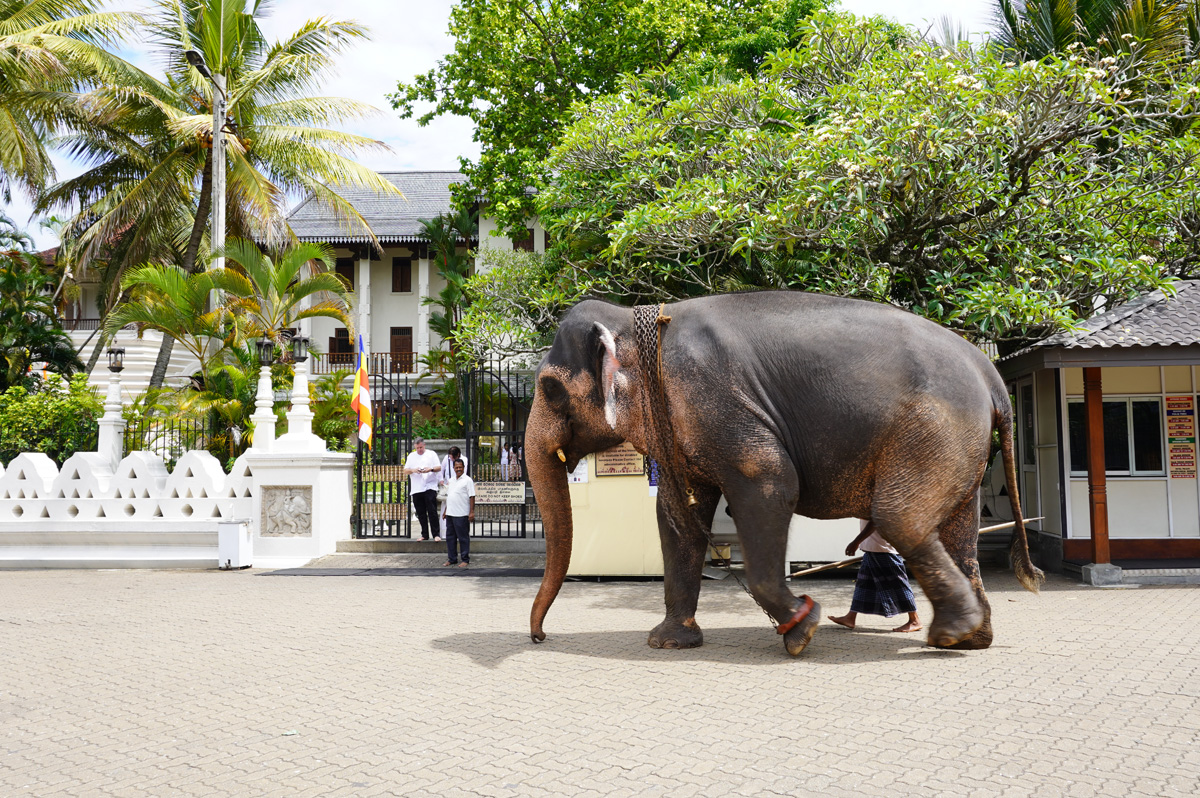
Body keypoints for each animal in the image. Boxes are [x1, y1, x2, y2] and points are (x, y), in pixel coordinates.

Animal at [525, 291, 1042, 657]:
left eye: (549, 389)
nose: (539, 637)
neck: (635, 320)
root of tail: (990, 373)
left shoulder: (717, 400)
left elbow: (771, 484)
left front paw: (801, 631)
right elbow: (675, 517)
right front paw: (668, 642)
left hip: (935, 430)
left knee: (901, 519)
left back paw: (950, 634)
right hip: (959, 446)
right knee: (957, 531)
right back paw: (971, 637)